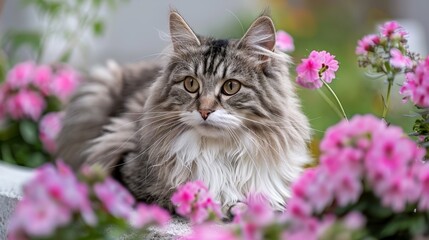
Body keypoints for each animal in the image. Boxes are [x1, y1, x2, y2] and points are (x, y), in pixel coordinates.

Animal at [56, 9, 310, 216]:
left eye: (231, 87)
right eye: (190, 84)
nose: (204, 111)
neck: (218, 152)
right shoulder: (121, 173)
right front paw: (225, 206)